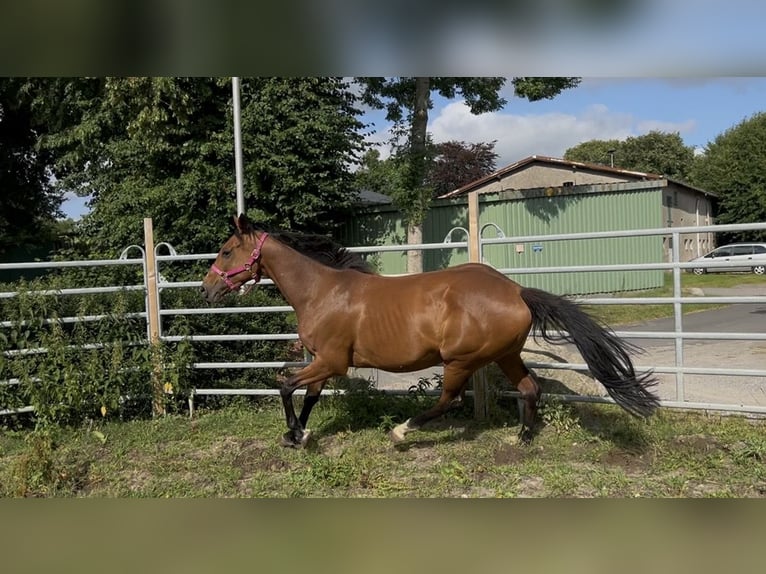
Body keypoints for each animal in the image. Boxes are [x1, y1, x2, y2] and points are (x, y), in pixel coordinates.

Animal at [200, 214, 659, 448]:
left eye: (226, 250)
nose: (207, 289)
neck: (323, 291)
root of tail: (515, 290)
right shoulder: (325, 363)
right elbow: (308, 394)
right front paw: (298, 434)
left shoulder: (332, 361)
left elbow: (284, 385)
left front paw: (295, 433)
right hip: (505, 354)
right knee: (530, 389)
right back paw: (523, 438)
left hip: (461, 360)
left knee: (448, 401)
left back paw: (403, 431)